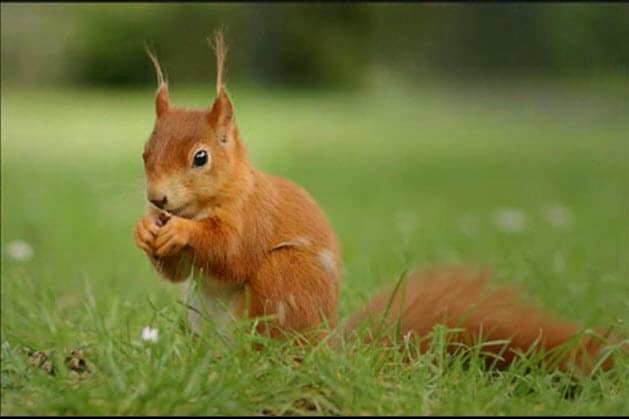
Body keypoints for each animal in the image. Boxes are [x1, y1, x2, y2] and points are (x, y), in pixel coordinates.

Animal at [134, 32, 624, 374]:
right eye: (144, 152)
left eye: (201, 158)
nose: (157, 198)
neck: (218, 197)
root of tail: (328, 352)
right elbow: (179, 270)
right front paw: (146, 230)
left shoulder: (257, 215)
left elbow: (232, 252)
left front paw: (182, 231)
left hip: (285, 278)